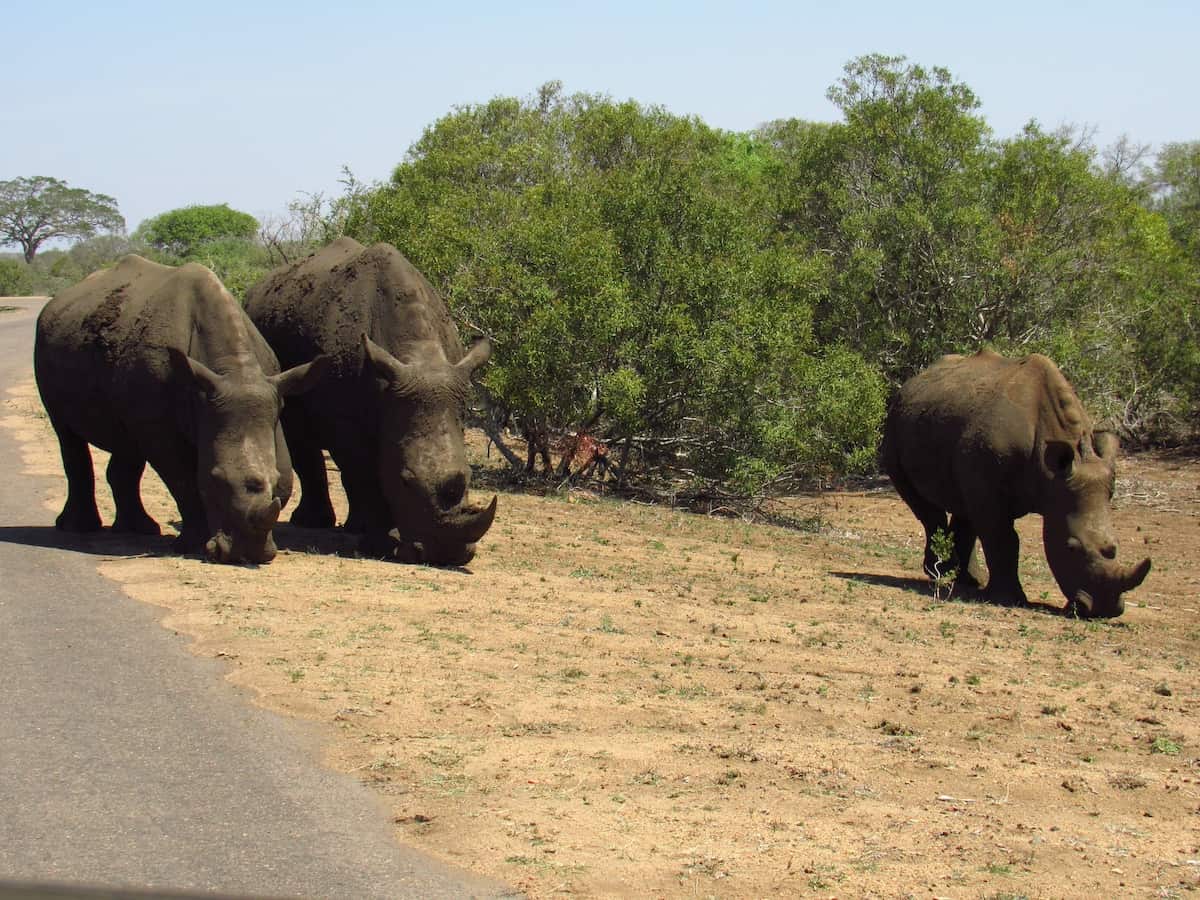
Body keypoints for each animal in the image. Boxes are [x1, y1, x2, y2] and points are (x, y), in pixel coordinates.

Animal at [34, 255, 329, 564]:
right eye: (216, 478)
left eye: (274, 481)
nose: (247, 556)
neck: (235, 371)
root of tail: (58, 300)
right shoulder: (161, 424)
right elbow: (183, 479)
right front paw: (193, 546)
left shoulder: (272, 395)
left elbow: (283, 467)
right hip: (44, 341)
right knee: (67, 435)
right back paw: (79, 528)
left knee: (127, 441)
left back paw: (138, 530)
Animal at [245, 238, 496, 566]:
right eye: (405, 481)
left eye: (469, 477)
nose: (445, 555)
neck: (419, 355)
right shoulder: (343, 419)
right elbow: (362, 470)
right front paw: (379, 545)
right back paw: (317, 523)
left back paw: (353, 526)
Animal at [879, 350, 1151, 618]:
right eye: (1070, 547)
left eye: (1115, 547)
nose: (1104, 611)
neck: (1050, 476)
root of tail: (912, 382)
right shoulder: (989, 487)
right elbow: (1003, 538)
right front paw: (1009, 599)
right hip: (894, 429)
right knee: (924, 506)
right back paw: (941, 573)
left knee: (964, 505)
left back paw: (968, 580)